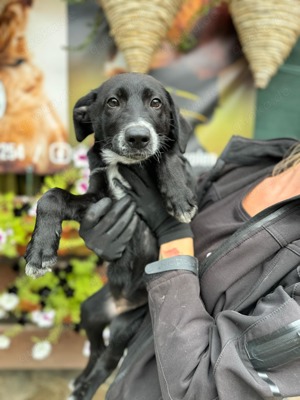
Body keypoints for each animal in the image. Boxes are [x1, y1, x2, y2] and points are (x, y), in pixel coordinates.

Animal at [24, 73, 197, 398]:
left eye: (156, 103)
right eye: (112, 102)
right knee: (96, 349)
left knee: (111, 357)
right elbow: (51, 196)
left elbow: (170, 153)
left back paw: (86, 388)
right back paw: (81, 383)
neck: (126, 164)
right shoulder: (97, 200)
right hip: (90, 311)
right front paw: (40, 253)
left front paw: (179, 197)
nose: (138, 137)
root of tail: (118, 306)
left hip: (126, 325)